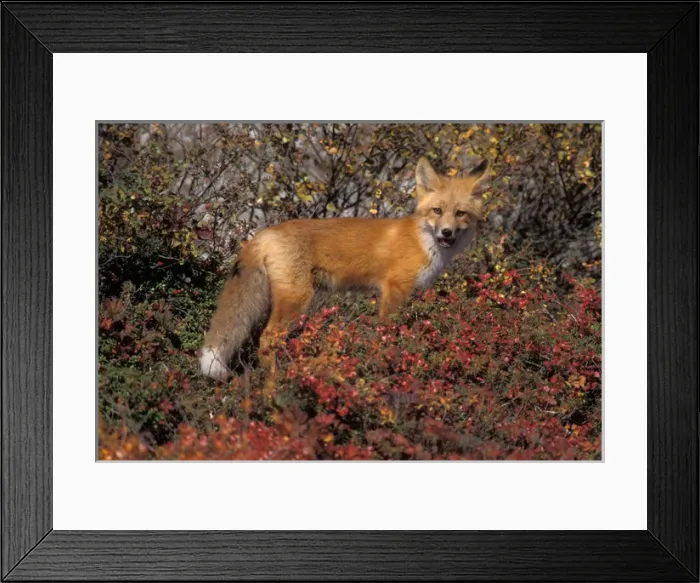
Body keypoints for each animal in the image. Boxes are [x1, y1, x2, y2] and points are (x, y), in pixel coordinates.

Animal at [199, 156, 489, 380]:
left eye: (460, 213)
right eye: (437, 211)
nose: (447, 232)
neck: (423, 241)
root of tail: (265, 232)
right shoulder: (395, 288)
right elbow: (387, 332)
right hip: (297, 300)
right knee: (267, 339)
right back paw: (274, 384)